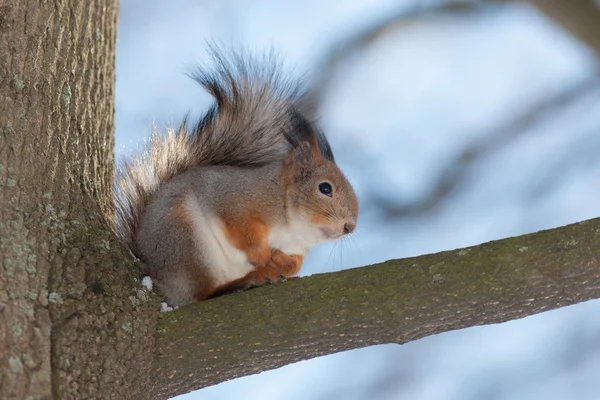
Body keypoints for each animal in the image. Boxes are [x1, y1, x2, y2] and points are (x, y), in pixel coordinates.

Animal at [113, 50, 358, 306]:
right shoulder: (232, 198)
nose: (350, 227)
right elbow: (240, 227)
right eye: (325, 188)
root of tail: (160, 281)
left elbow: (294, 262)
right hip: (186, 241)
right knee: (201, 294)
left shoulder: (297, 248)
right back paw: (243, 282)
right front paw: (261, 253)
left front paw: (283, 263)